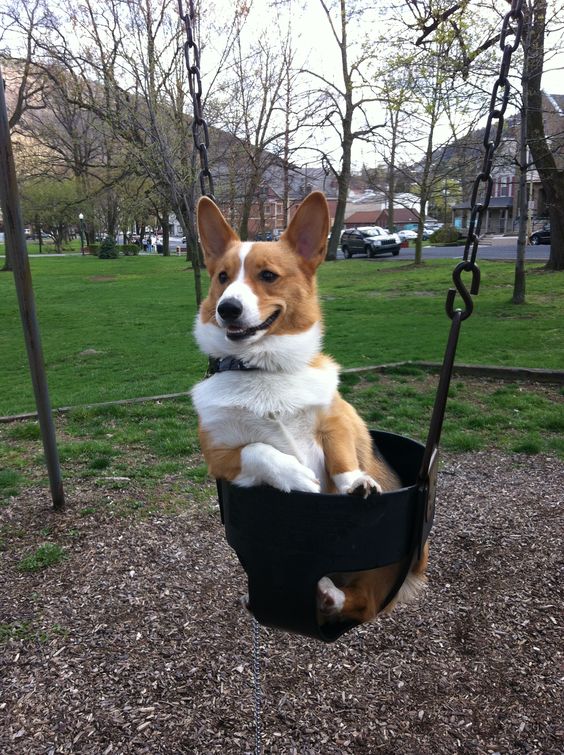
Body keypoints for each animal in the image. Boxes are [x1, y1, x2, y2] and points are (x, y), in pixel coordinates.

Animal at [191, 190, 428, 628]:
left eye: (268, 276)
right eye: (222, 277)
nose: (227, 309)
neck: (262, 369)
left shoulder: (337, 420)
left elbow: (341, 457)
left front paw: (357, 484)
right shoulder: (219, 456)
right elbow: (258, 448)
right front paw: (296, 475)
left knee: (365, 603)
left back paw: (330, 593)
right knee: (359, 602)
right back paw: (322, 594)